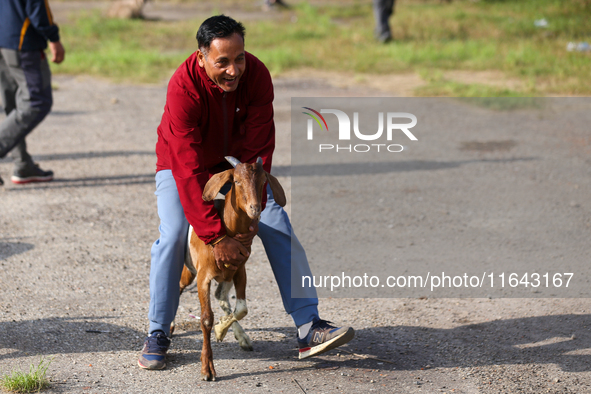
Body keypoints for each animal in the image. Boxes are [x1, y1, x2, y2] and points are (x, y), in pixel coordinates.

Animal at [176, 155, 286, 380]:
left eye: (263, 181)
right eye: (236, 181)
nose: (255, 208)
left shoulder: (240, 271)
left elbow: (242, 308)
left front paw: (221, 330)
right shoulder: (203, 277)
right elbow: (206, 319)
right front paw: (207, 369)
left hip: (226, 276)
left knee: (221, 296)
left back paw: (240, 335)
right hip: (189, 272)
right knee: (178, 287)